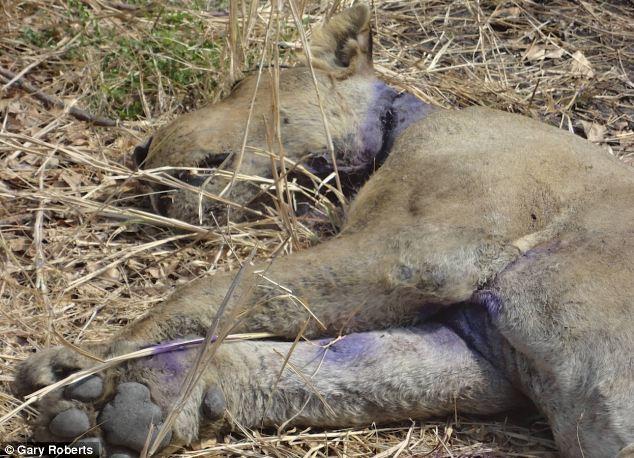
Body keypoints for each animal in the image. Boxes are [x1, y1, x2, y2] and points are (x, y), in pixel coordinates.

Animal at [12, 4, 628, 458]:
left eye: (239, 83)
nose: (138, 151)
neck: (398, 125)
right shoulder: (474, 352)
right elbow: (318, 369)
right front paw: (128, 399)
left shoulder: (423, 250)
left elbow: (220, 288)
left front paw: (87, 361)